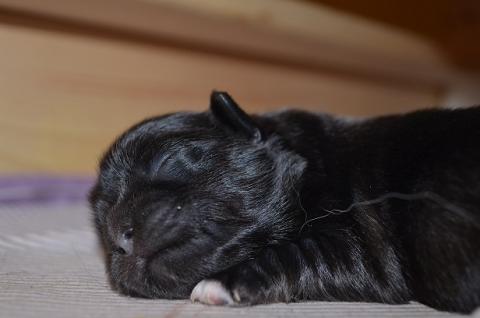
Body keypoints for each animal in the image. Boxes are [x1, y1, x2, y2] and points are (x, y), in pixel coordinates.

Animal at [90, 91, 480, 314]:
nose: (119, 238)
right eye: (101, 221)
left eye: (166, 161)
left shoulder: (364, 249)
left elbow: (296, 253)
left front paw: (222, 284)